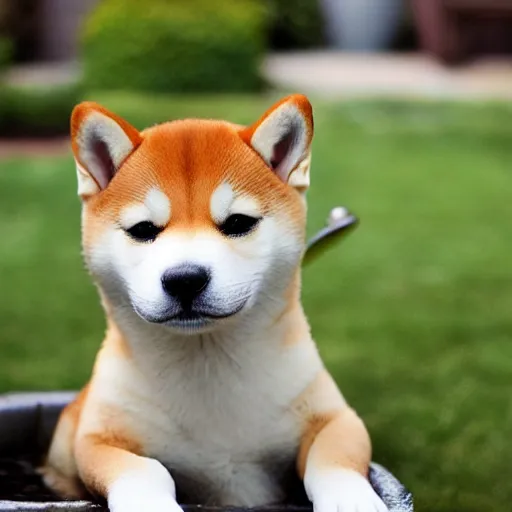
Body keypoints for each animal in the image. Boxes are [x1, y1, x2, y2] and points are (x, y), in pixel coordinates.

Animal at [43, 93, 388, 512]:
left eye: (238, 222)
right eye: (143, 230)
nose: (184, 279)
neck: (207, 365)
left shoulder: (336, 417)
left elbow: (333, 456)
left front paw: (351, 498)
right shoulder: (99, 438)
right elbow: (142, 470)